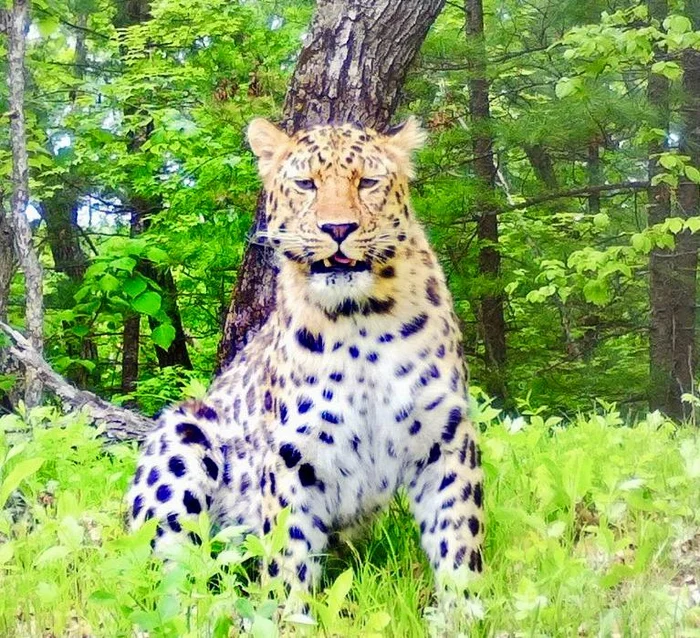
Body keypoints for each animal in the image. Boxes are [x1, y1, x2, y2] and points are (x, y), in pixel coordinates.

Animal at [126, 117, 484, 616]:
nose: (338, 227)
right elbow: (287, 551)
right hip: (182, 436)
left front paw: (464, 613)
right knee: (169, 570)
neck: (360, 320)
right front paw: (288, 616)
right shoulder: (293, 455)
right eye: (306, 184)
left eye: (367, 182)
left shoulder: (445, 438)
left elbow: (459, 536)